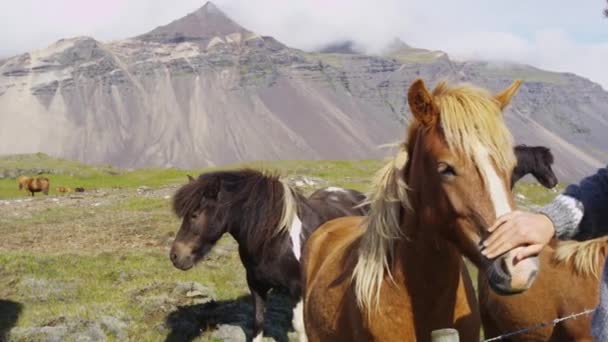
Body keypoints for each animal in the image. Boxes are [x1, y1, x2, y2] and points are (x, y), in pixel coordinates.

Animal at [169, 171, 366, 342]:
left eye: (195, 214)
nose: (175, 256)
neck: (275, 239)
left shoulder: (297, 288)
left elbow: (300, 327)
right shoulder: (256, 285)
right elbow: (258, 322)